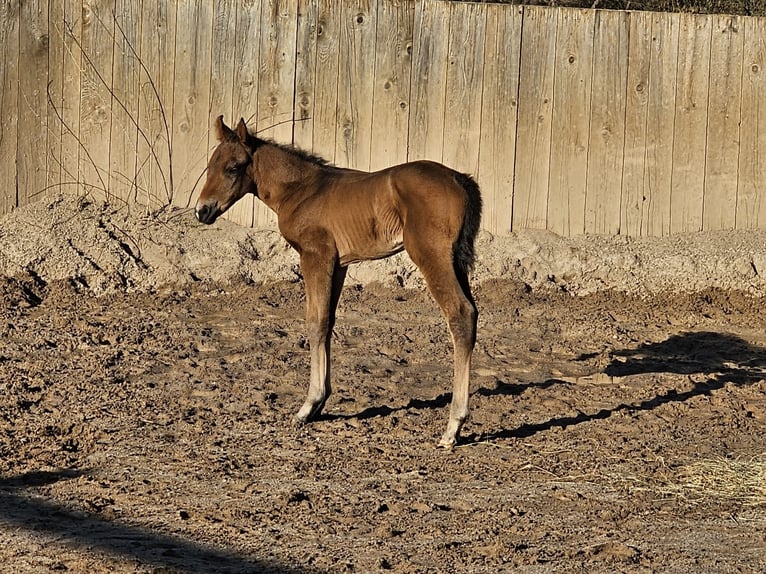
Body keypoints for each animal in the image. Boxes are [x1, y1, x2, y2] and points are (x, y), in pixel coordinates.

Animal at [195, 117, 484, 450]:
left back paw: (452, 427)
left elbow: (314, 321)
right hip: (455, 261)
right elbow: (328, 322)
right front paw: (320, 403)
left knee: (460, 314)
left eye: (233, 168)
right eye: (210, 166)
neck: (302, 189)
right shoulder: (339, 264)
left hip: (431, 255)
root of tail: (459, 179)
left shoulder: (315, 255)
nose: (202, 211)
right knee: (472, 313)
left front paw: (308, 406)